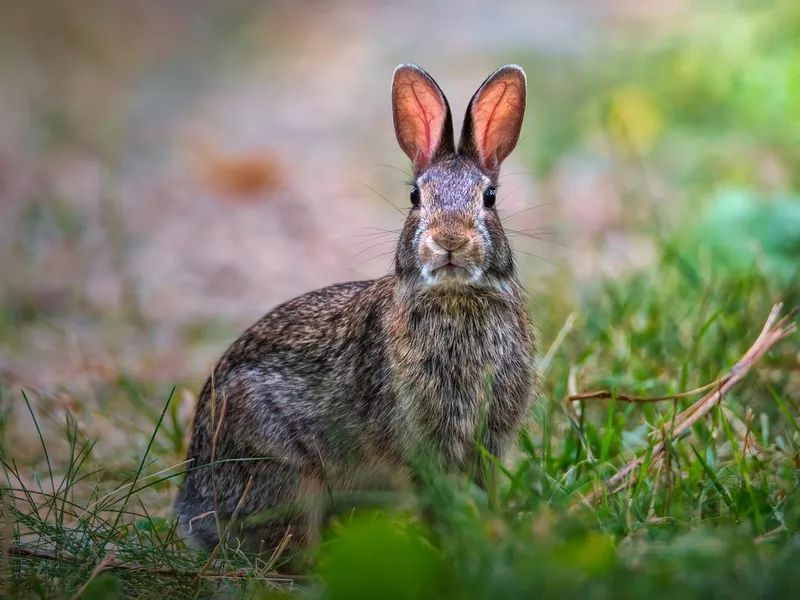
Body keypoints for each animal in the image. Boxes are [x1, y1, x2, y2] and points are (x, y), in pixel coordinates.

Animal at [175, 63, 536, 560]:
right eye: (415, 198)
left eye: (490, 198)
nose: (449, 240)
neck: (454, 297)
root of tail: (192, 506)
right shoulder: (419, 443)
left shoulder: (489, 439)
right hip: (283, 474)